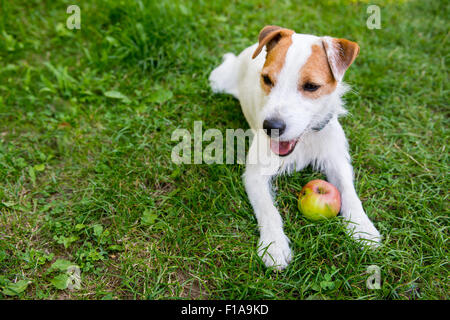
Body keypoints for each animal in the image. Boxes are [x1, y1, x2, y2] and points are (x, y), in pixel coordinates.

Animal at [209, 25, 382, 270]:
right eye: (266, 79)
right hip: (219, 81)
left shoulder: (337, 161)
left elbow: (349, 192)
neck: (306, 138)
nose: (271, 127)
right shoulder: (255, 175)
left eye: (311, 86)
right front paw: (273, 245)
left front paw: (362, 227)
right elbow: (268, 210)